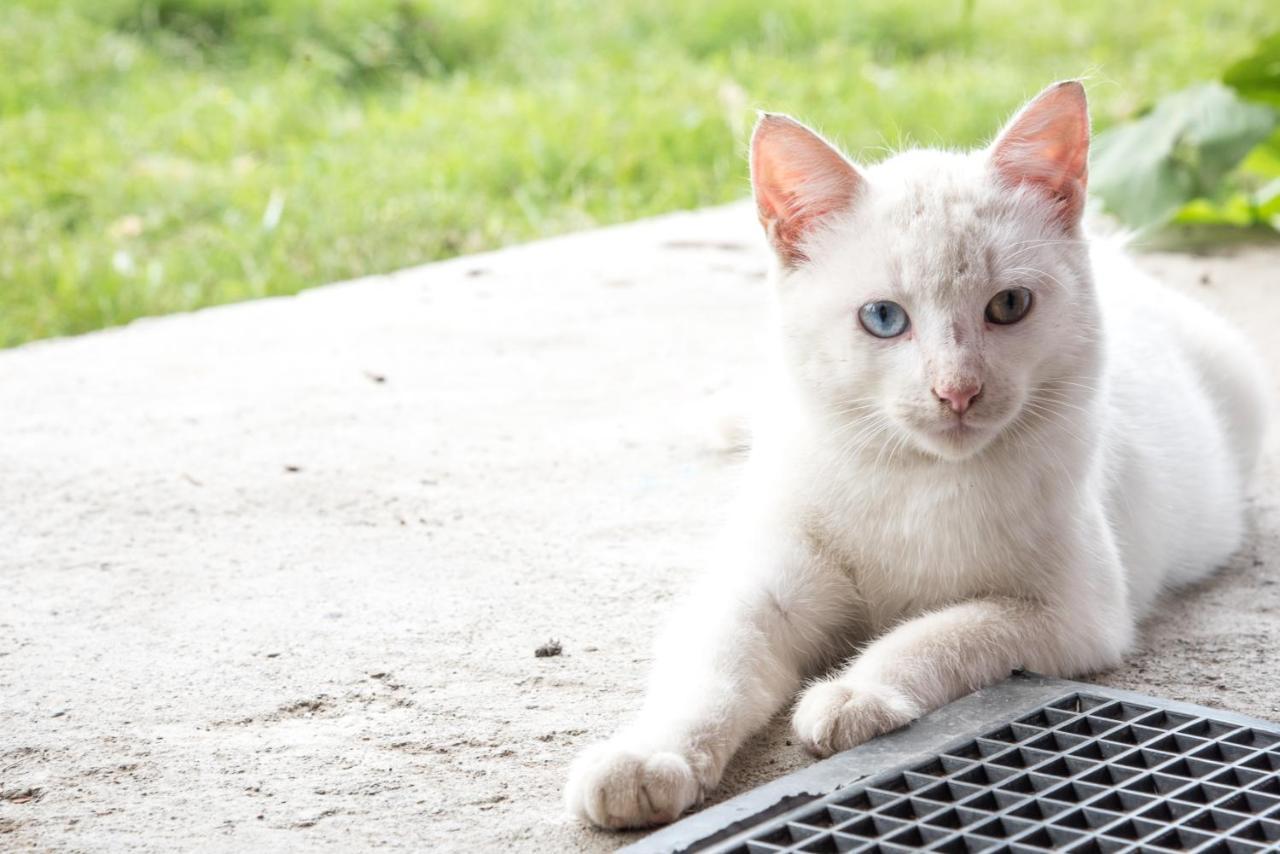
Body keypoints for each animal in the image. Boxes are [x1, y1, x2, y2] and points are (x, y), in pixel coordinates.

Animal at [563, 80, 1269, 829]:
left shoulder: (1070, 617)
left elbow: (938, 632)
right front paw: (646, 756)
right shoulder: (758, 590)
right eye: (882, 318)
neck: (914, 478)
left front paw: (855, 693)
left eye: (1009, 305)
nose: (957, 391)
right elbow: (710, 668)